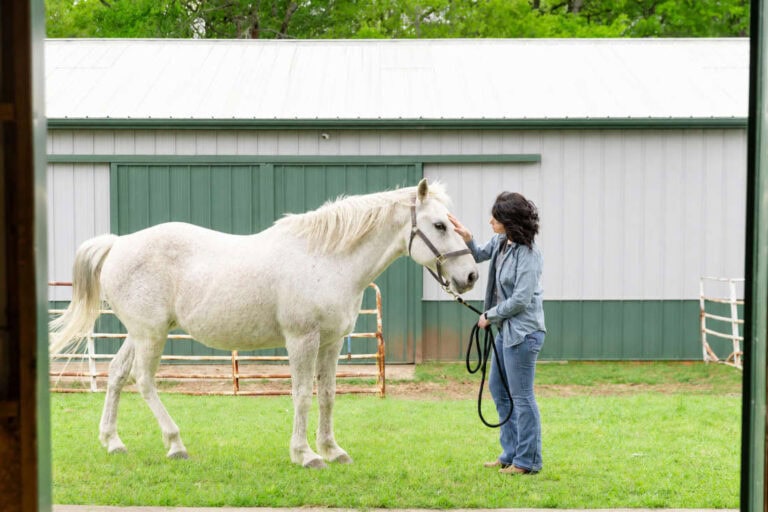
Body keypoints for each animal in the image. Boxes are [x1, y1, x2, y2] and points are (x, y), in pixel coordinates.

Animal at [50, 178, 478, 468]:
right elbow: (302, 395)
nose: (471, 276)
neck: (326, 259)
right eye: (440, 225)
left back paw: (113, 441)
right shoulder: (302, 340)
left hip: (140, 333)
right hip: (151, 335)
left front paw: (332, 450)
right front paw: (305, 454)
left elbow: (327, 395)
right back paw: (175, 443)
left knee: (116, 374)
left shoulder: (331, 343)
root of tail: (118, 243)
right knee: (143, 380)